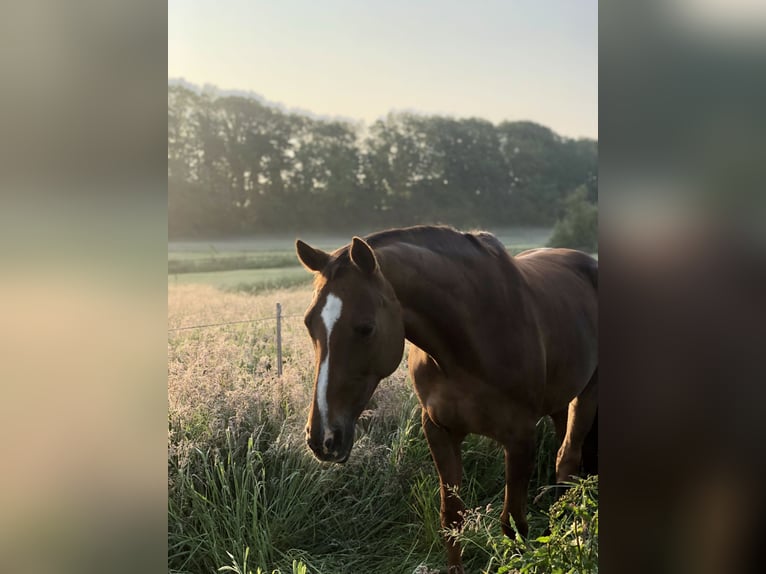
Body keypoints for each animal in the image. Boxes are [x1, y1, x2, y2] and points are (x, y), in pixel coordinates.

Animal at [296, 227, 600, 572]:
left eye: (366, 328)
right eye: (309, 323)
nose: (322, 437)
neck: (469, 341)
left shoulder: (520, 437)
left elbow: (513, 525)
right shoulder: (439, 430)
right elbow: (452, 519)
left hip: (587, 394)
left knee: (568, 459)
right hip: (561, 400)